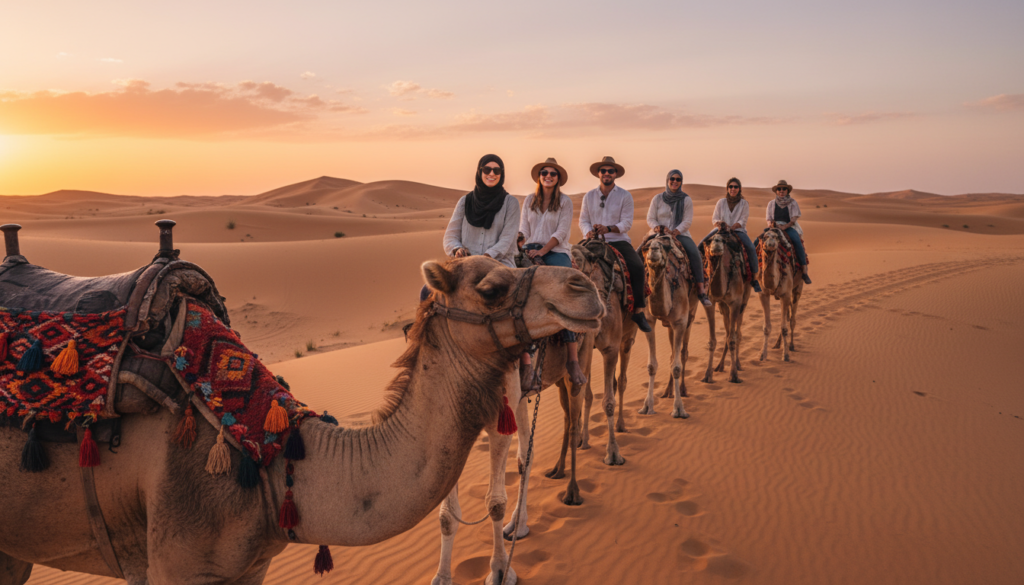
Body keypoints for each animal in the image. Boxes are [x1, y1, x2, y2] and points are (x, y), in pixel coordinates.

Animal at [638, 234, 703, 419]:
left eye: (665, 247)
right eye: (645, 247)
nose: (654, 250)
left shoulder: (680, 321)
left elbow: (677, 366)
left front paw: (679, 409)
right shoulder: (649, 321)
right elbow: (652, 365)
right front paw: (647, 406)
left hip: (691, 315)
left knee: (683, 353)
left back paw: (682, 390)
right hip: (669, 325)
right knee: (673, 353)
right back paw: (667, 391)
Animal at [701, 230, 753, 384]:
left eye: (723, 241)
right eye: (710, 240)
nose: (717, 243)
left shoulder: (735, 303)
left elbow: (732, 338)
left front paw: (734, 375)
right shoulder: (711, 302)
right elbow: (712, 340)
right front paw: (707, 375)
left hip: (744, 300)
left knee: (737, 332)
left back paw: (738, 364)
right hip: (723, 306)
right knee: (728, 331)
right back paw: (720, 366)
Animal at [757, 227, 805, 362]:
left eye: (776, 237)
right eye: (764, 237)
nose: (771, 243)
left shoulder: (786, 294)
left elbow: (784, 327)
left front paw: (786, 355)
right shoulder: (763, 294)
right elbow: (767, 327)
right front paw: (762, 355)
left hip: (797, 288)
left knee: (792, 319)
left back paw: (791, 345)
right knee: (787, 317)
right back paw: (777, 344)